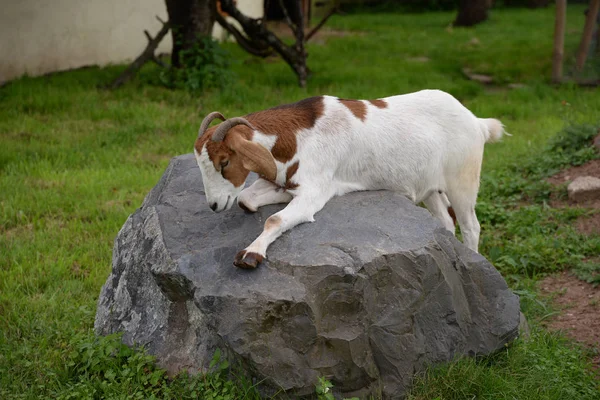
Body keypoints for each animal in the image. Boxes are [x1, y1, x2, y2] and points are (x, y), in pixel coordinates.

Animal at [193, 88, 506, 268]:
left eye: (224, 162)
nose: (214, 205)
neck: (297, 135)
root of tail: (477, 122)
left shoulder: (314, 192)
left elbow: (276, 219)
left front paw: (251, 253)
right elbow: (246, 198)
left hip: (463, 179)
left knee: (471, 225)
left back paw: (474, 260)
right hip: (429, 186)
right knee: (445, 220)